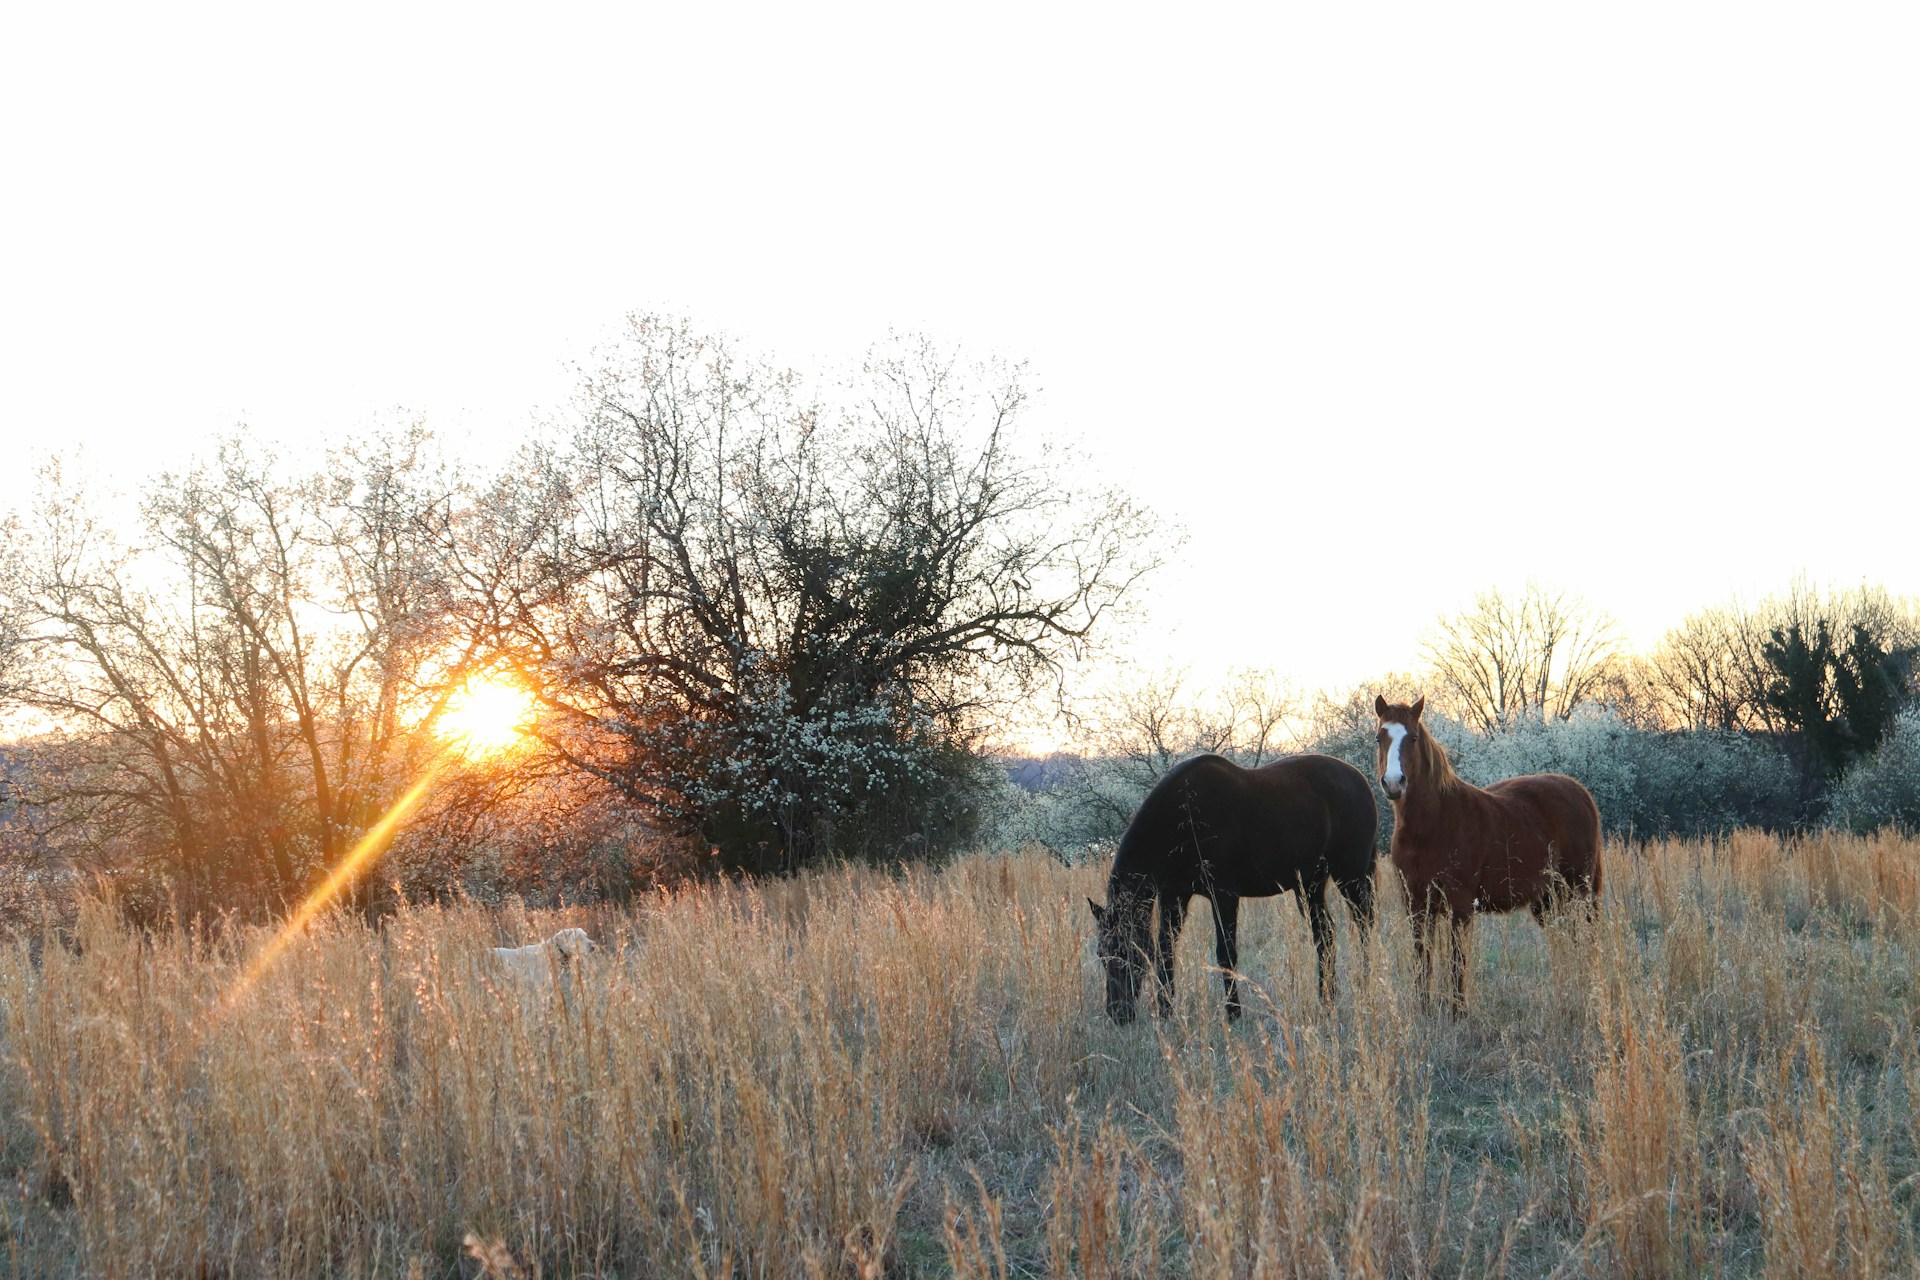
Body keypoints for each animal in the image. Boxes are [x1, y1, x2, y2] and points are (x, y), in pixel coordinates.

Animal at [1087, 752, 1379, 1024]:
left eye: (1127, 953)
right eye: (1102, 953)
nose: (1118, 1013)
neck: (1185, 814)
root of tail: (1360, 780)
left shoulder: (1224, 896)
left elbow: (1226, 954)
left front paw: (1233, 1012)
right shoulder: (1174, 897)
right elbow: (1165, 950)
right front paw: (1166, 1011)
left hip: (1349, 876)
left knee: (1363, 923)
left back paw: (1366, 981)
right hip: (1310, 885)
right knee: (1325, 935)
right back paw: (1327, 998)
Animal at [1373, 695, 1601, 1009]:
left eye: (1414, 737)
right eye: (1379, 737)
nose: (1394, 783)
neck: (1431, 825)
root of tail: (1581, 792)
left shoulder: (1460, 905)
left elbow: (1457, 962)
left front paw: (1458, 1012)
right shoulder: (1416, 904)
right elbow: (1422, 961)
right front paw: (1424, 1010)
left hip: (1580, 889)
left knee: (1587, 937)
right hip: (1548, 900)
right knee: (1568, 938)